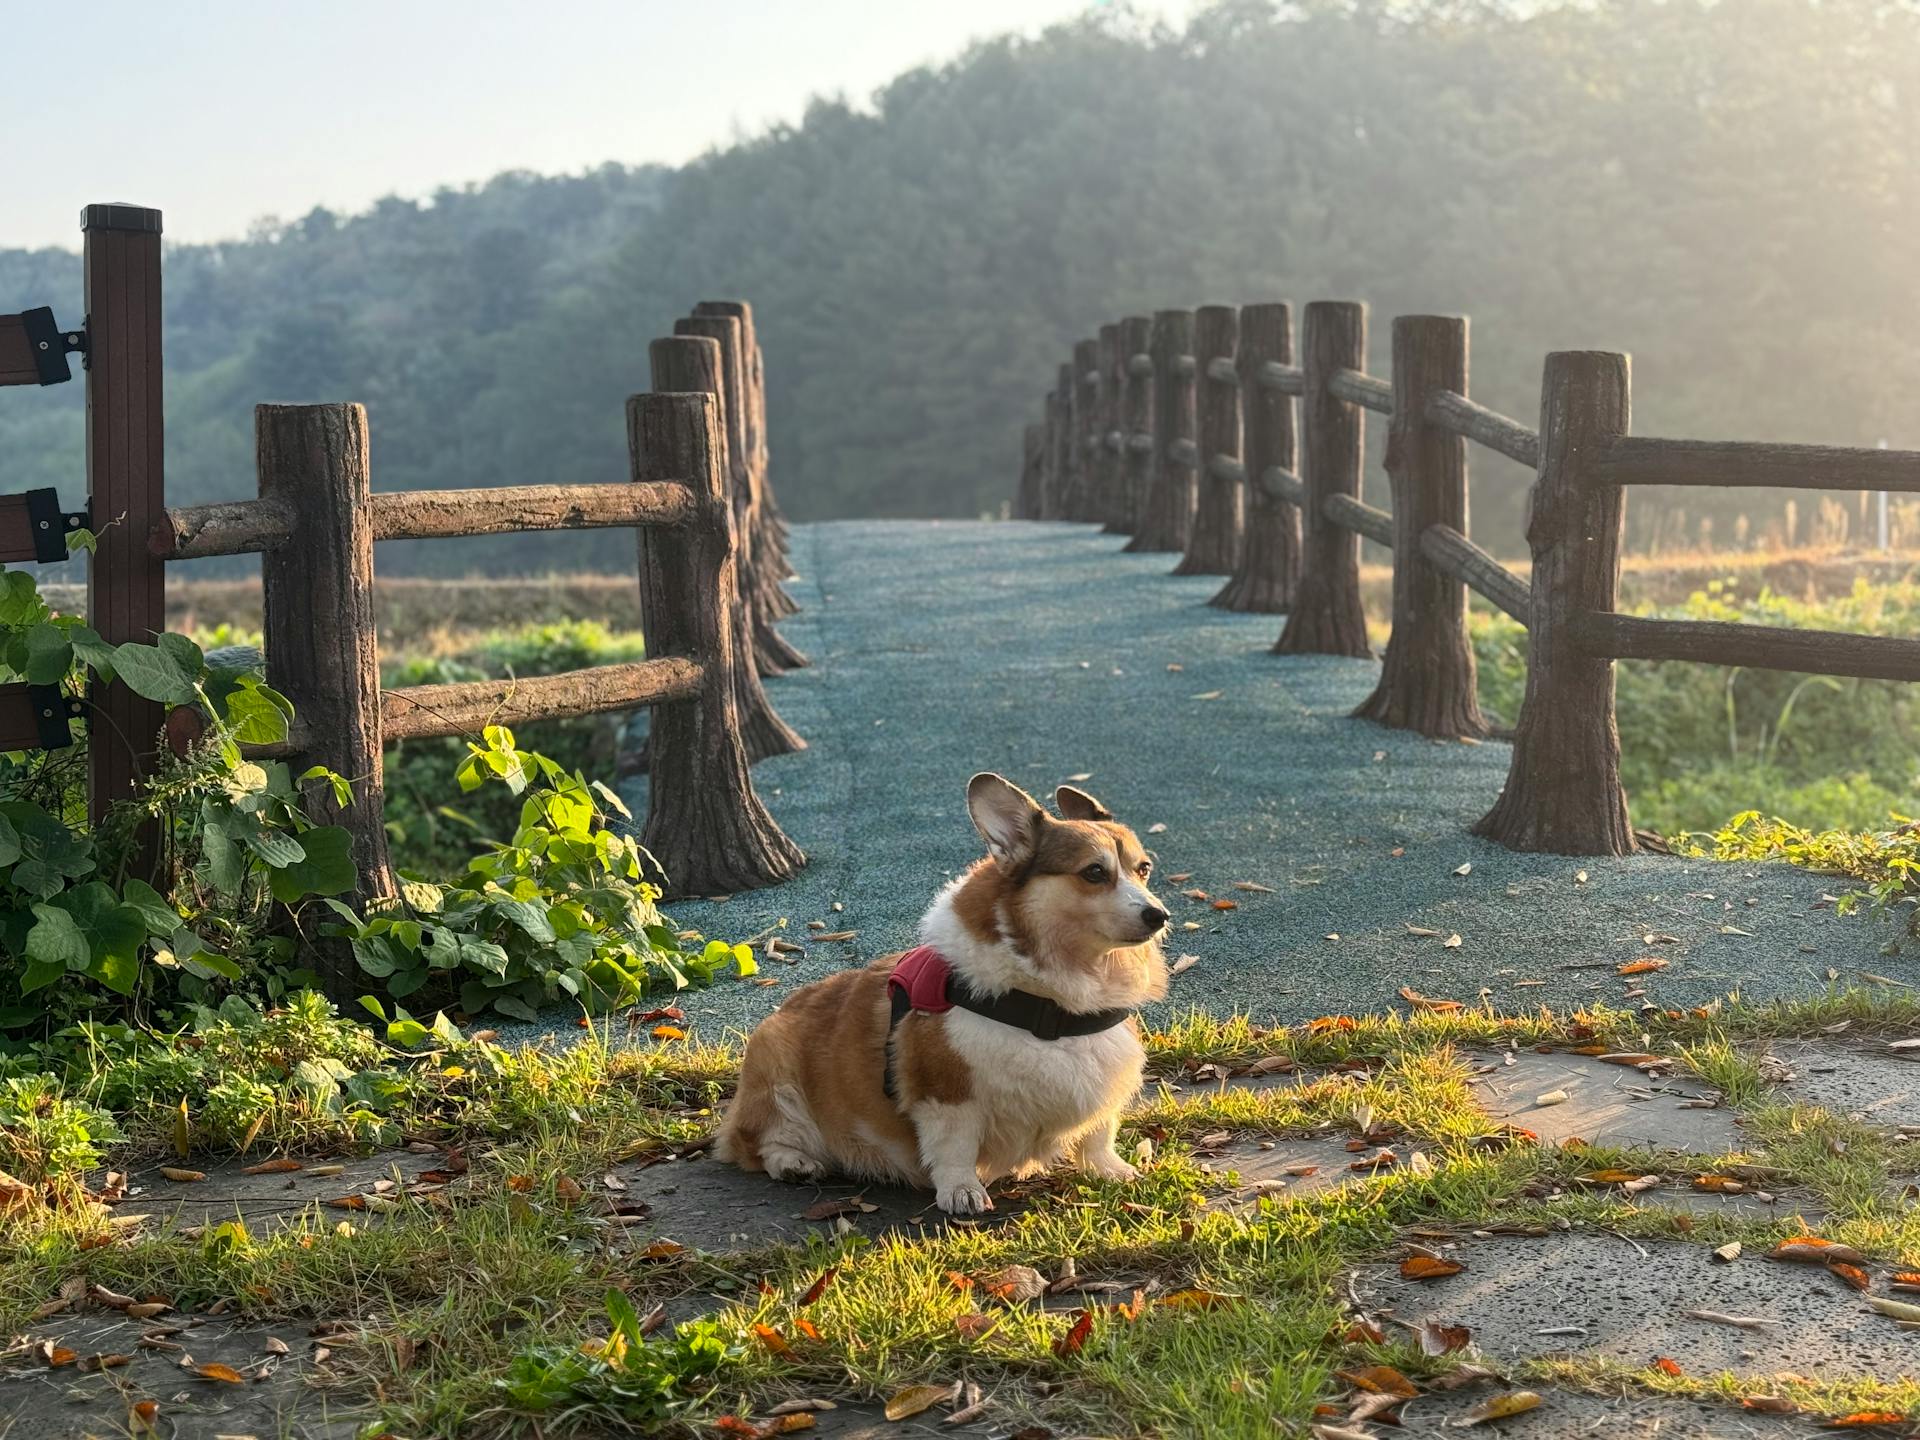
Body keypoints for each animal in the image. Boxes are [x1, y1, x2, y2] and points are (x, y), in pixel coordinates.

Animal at [718, 771, 1167, 1213]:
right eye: (1094, 872)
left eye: (1143, 869)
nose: (1159, 915)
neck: (1050, 1003)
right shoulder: (946, 1092)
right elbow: (955, 1146)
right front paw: (962, 1191)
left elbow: (1098, 1135)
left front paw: (1113, 1170)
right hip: (775, 1073)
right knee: (755, 1143)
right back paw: (794, 1162)